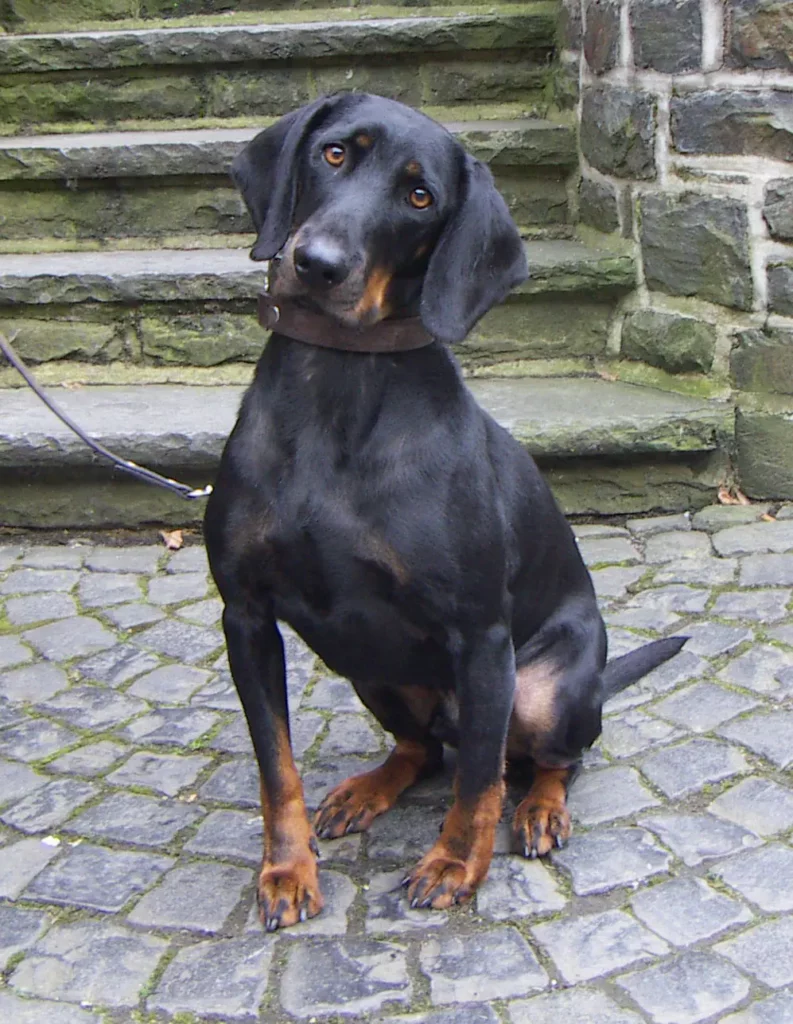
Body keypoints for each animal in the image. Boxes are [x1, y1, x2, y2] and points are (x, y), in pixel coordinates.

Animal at [206, 92, 688, 933]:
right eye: (334, 153)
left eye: (420, 197)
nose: (318, 264)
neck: (337, 382)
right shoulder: (246, 617)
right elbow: (276, 769)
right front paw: (287, 872)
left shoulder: (481, 634)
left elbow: (477, 787)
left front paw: (455, 867)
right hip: (370, 668)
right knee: (426, 749)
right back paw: (367, 789)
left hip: (544, 690)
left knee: (539, 759)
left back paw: (540, 810)